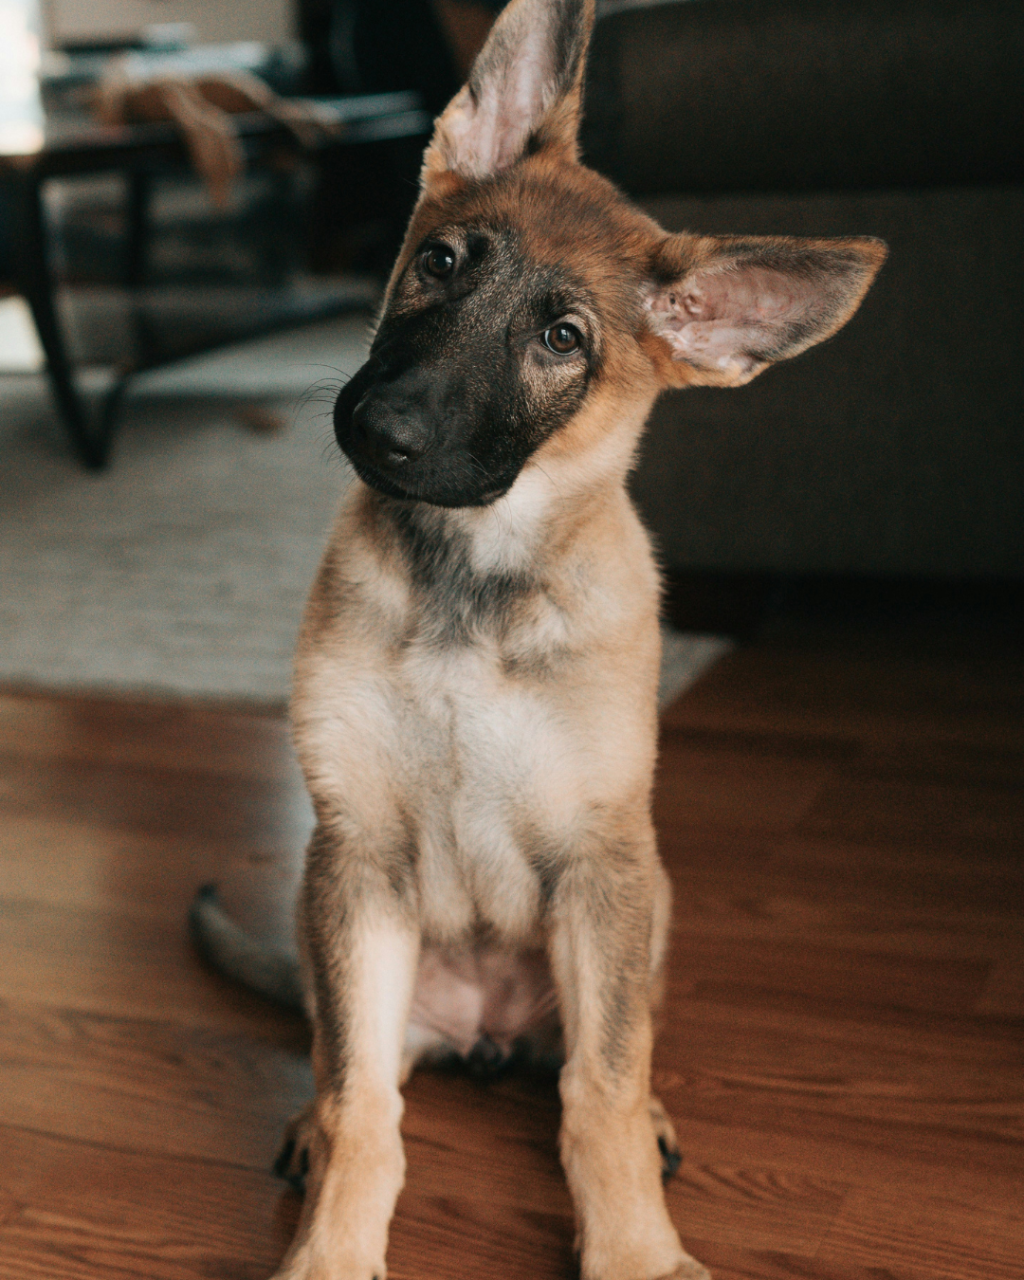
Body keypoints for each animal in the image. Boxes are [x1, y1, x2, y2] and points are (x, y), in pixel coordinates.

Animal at [195, 5, 885, 1274]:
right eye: (439, 261)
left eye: (562, 337)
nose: (382, 428)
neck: (473, 575)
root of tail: (479, 1030)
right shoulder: (357, 853)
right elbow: (364, 1100)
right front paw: (332, 1244)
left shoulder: (597, 859)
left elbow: (597, 1090)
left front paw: (635, 1249)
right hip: (334, 920)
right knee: (335, 1060)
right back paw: (310, 1125)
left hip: (645, 902)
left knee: (610, 1046)